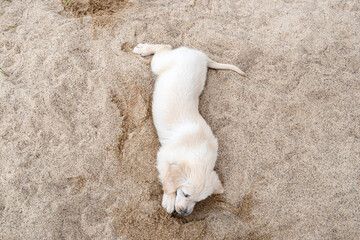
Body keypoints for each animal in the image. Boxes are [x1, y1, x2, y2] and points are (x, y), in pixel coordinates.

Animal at [134, 43, 246, 216]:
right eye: (185, 194)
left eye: (199, 200)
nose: (184, 212)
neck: (198, 152)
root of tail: (200, 55)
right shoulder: (163, 154)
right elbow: (165, 175)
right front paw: (169, 199)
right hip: (162, 63)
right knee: (163, 47)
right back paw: (144, 49)